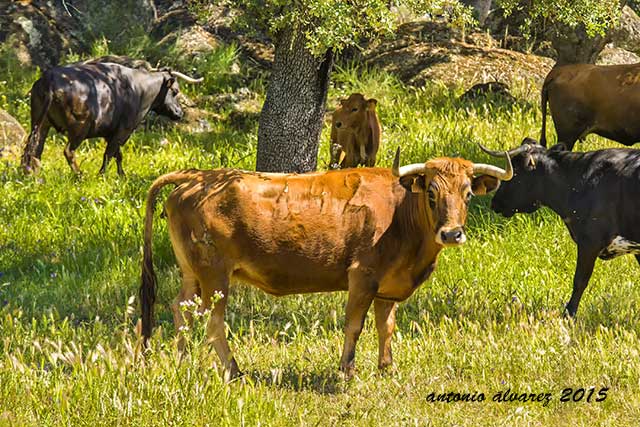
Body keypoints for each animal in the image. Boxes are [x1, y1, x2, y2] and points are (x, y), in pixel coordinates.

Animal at [139, 149, 510, 380]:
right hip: (215, 276)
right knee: (213, 322)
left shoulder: (388, 288)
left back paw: (183, 362)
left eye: (467, 194)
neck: (399, 213)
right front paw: (346, 370)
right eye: (431, 193)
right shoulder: (362, 276)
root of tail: (197, 177)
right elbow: (354, 326)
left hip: (192, 274)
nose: (452, 233)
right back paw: (234, 371)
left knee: (182, 310)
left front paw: (387, 368)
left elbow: (386, 327)